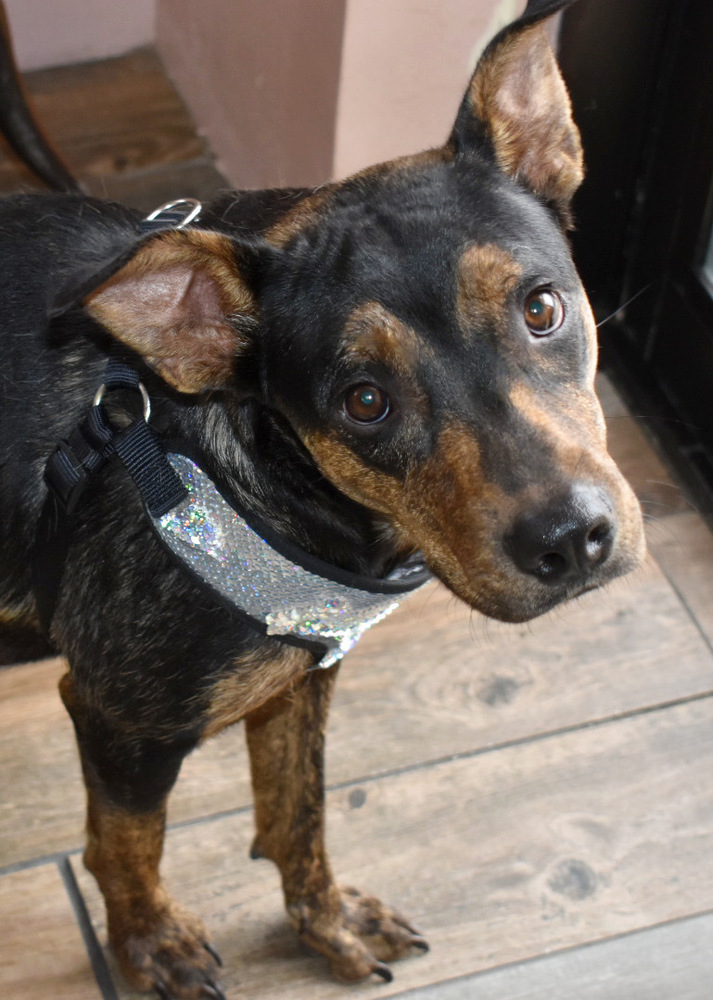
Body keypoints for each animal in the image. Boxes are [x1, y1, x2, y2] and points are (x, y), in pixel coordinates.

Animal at [0, 0, 644, 996]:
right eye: (363, 401)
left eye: (542, 307)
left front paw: (326, 921)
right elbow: (127, 847)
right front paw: (149, 944)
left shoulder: (302, 676)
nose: (572, 540)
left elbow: (297, 812)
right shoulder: (119, 721)